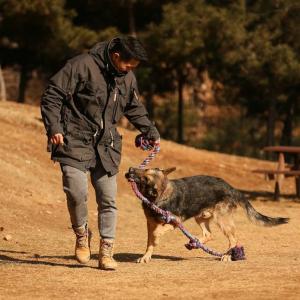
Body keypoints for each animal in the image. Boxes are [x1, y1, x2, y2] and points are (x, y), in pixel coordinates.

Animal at [125, 166, 288, 262]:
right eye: (145, 169)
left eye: (145, 178)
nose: (130, 169)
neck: (159, 196)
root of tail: (232, 188)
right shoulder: (150, 223)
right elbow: (149, 241)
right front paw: (146, 256)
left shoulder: (175, 221)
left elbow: (157, 233)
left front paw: (156, 239)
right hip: (200, 217)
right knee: (209, 234)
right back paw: (194, 243)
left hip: (222, 221)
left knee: (233, 239)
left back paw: (227, 255)